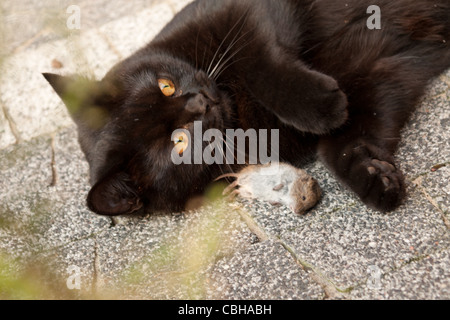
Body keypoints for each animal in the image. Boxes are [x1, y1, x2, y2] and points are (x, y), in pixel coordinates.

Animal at [44, 0, 448, 216]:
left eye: (165, 85)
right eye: (178, 143)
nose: (200, 101)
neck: (240, 109)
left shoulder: (243, 12)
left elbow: (261, 63)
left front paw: (321, 107)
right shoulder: (382, 73)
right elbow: (345, 143)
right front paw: (374, 177)